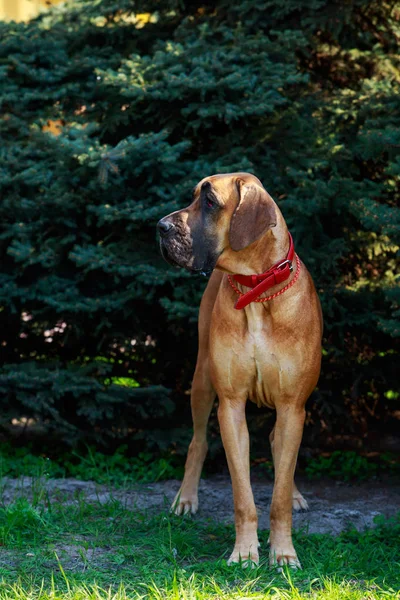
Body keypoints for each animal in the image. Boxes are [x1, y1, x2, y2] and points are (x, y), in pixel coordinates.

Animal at [156, 172, 322, 568]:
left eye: (210, 202)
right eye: (193, 198)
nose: (160, 227)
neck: (257, 290)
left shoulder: (293, 405)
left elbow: (279, 494)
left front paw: (283, 552)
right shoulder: (230, 405)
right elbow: (243, 495)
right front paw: (245, 552)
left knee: (279, 446)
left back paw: (295, 492)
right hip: (202, 381)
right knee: (198, 441)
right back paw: (186, 498)